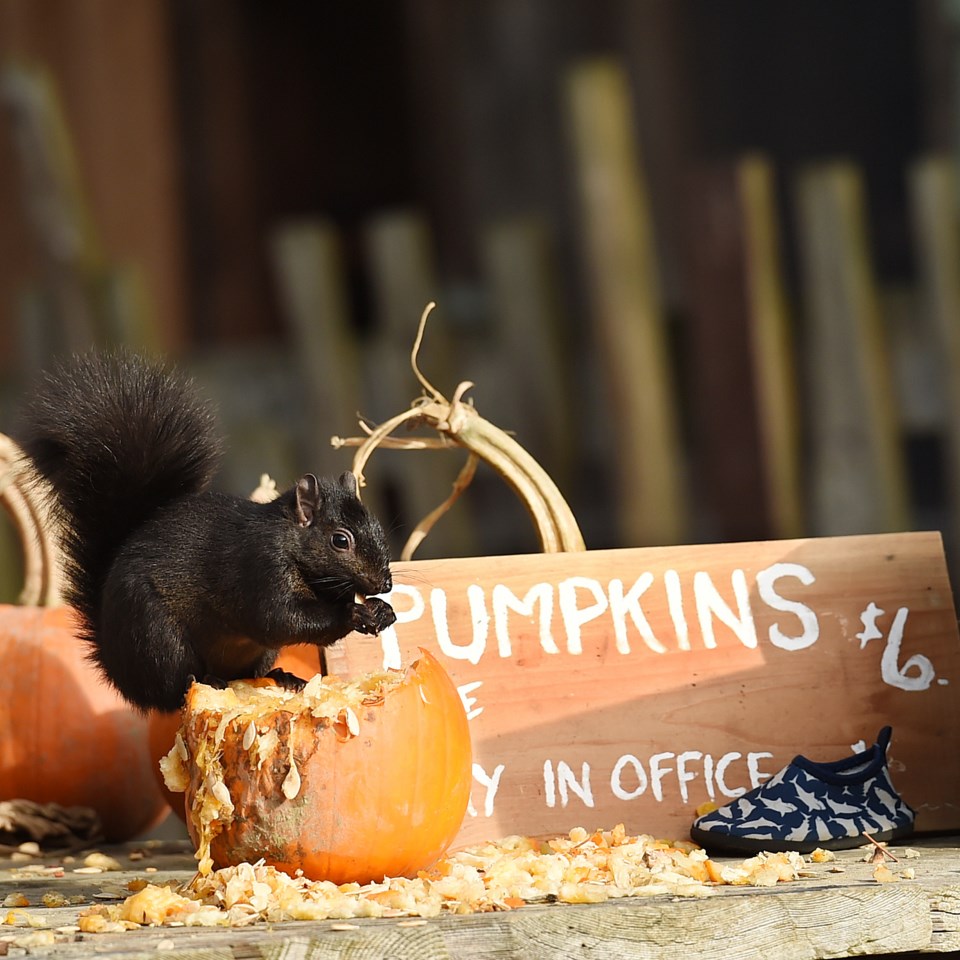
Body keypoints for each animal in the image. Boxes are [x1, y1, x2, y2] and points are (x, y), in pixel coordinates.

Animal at [15, 352, 398, 712]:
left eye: (377, 525)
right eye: (340, 540)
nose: (385, 584)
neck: (291, 547)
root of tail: (119, 668)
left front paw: (382, 610)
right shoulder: (259, 571)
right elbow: (283, 620)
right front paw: (355, 614)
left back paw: (282, 676)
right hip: (158, 637)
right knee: (174, 689)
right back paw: (207, 680)